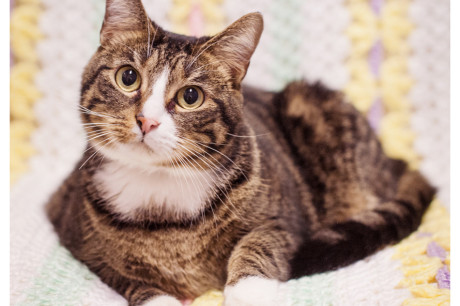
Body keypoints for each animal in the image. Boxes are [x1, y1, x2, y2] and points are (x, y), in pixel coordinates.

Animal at [45, 0, 436, 306]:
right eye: (128, 77)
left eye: (190, 97)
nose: (147, 121)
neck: (161, 189)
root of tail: (393, 160)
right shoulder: (78, 241)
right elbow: (127, 278)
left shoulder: (287, 220)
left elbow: (259, 243)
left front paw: (247, 292)